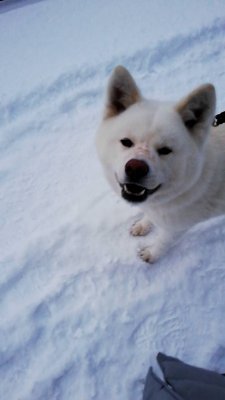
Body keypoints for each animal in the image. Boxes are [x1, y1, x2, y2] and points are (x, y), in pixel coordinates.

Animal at [96, 66, 225, 262]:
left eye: (165, 150)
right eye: (126, 142)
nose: (135, 168)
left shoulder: (177, 227)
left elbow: (164, 242)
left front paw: (151, 254)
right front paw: (143, 225)